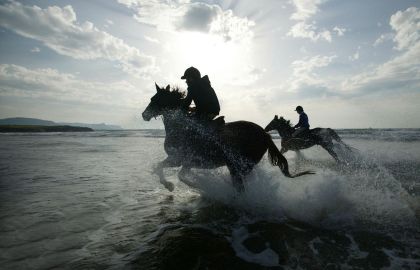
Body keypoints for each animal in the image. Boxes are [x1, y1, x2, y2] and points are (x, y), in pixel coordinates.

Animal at [143, 84, 314, 192]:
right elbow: (177, 174)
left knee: (240, 186)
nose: (144, 115)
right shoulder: (187, 162)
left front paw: (173, 185)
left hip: (238, 166)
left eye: (155, 99)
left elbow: (162, 168)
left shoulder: (176, 158)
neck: (180, 127)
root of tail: (265, 134)